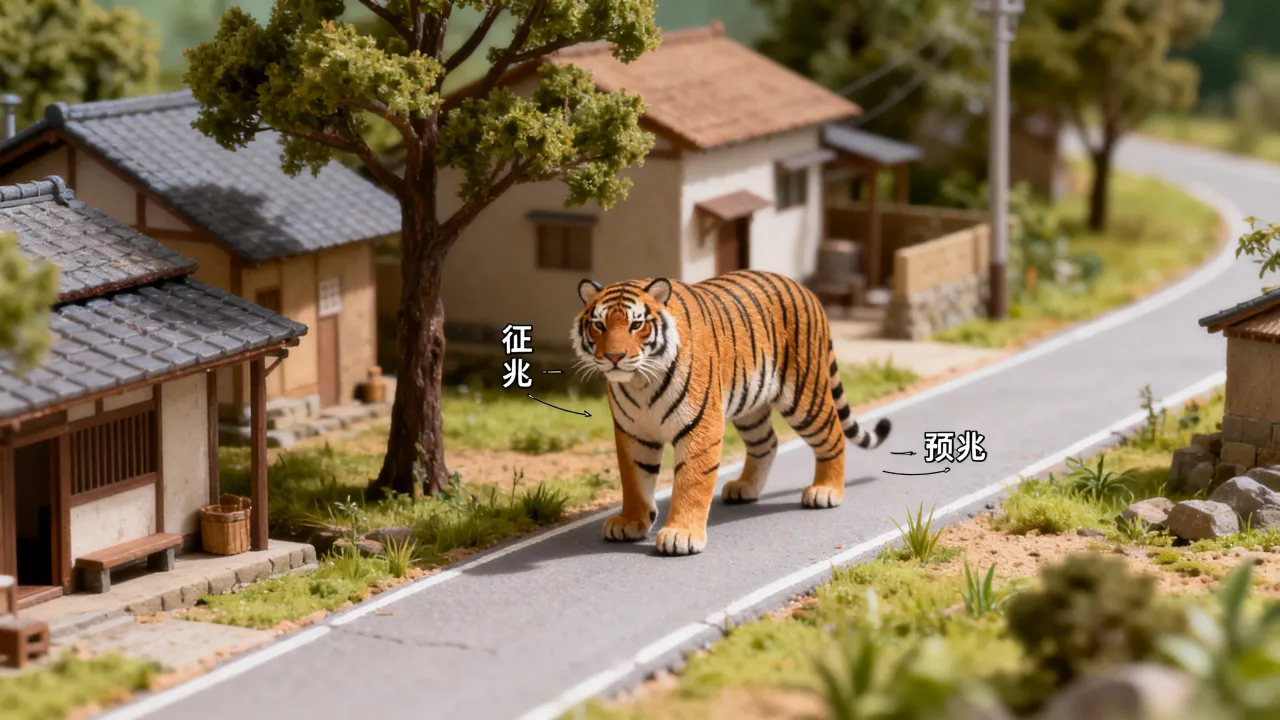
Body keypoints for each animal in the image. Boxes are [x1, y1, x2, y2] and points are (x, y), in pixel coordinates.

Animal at [571, 270, 892, 556]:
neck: (640, 382)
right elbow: (635, 480)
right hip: (751, 407)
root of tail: (806, 290)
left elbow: (691, 482)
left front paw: (681, 534)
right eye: (599, 325)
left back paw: (826, 491)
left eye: (636, 325)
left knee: (833, 434)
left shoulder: (700, 426)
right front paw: (631, 522)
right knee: (767, 442)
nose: (614, 357)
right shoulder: (633, 431)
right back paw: (745, 487)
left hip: (804, 396)